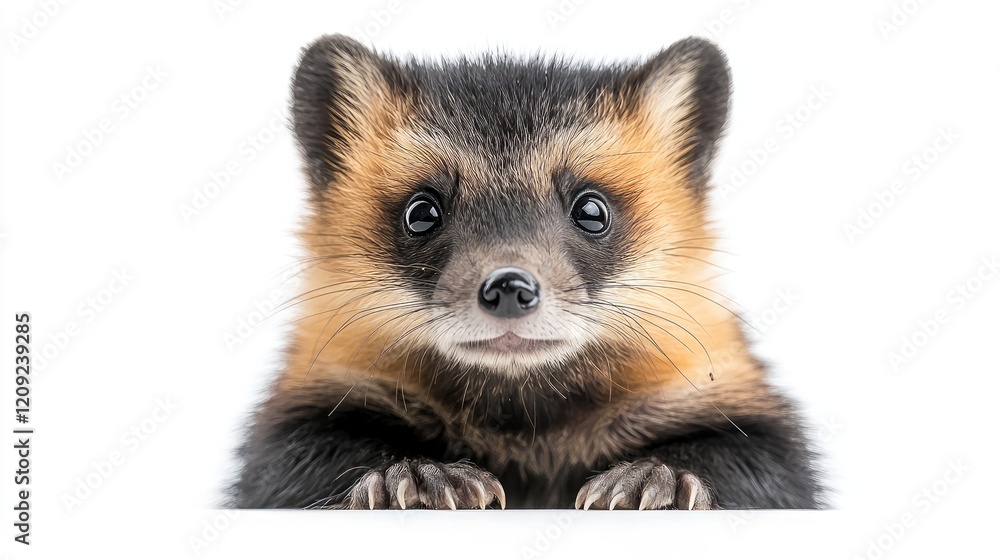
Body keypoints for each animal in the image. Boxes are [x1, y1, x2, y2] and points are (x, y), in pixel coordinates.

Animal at [229, 35, 822, 510]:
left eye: (592, 209)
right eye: (421, 211)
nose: (509, 287)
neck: (526, 432)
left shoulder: (745, 418)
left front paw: (656, 478)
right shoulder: (299, 418)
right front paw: (421, 475)